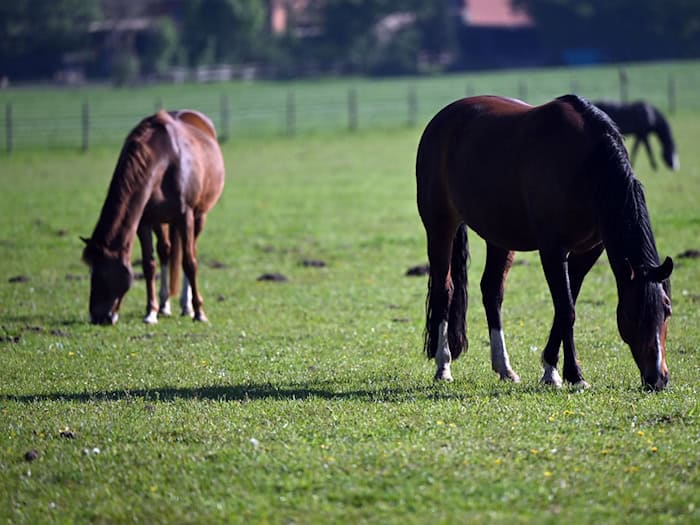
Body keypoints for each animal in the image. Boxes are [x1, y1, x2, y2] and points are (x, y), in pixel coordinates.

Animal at [81, 109, 225, 325]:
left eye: (104, 274)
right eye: (91, 272)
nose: (98, 317)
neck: (166, 159)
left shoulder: (186, 217)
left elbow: (189, 262)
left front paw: (199, 312)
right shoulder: (144, 221)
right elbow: (149, 265)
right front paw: (151, 312)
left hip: (199, 216)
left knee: (190, 251)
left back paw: (187, 306)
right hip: (162, 221)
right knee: (166, 250)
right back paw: (165, 305)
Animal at [416, 94, 673, 391]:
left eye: (667, 310)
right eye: (634, 315)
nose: (658, 378)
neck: (588, 166)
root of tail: (442, 119)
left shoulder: (588, 252)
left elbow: (565, 307)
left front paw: (554, 370)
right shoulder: (553, 250)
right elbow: (567, 310)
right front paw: (571, 375)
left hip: (500, 236)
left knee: (492, 291)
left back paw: (505, 368)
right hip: (440, 227)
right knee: (444, 290)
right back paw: (443, 365)